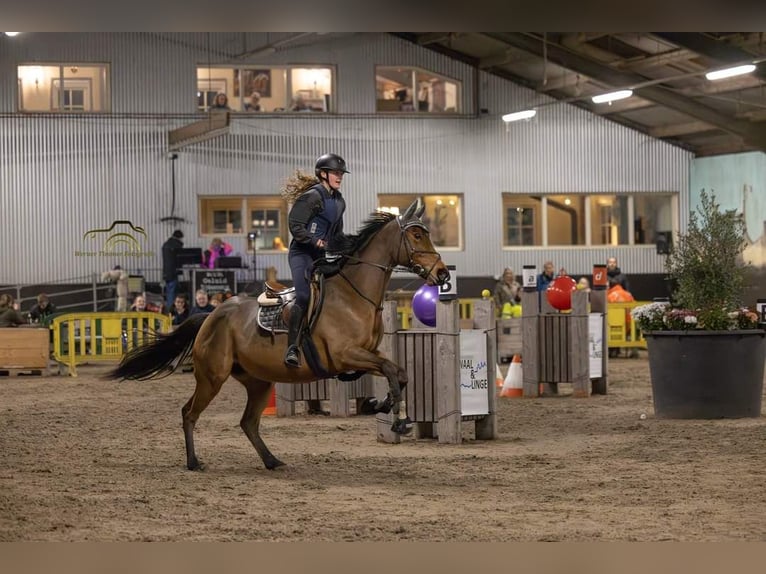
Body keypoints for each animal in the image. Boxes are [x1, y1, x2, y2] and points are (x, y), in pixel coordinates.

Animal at [109, 199, 456, 472]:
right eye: (416, 234)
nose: (442, 273)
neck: (354, 294)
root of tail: (210, 316)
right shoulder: (346, 355)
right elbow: (390, 370)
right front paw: (396, 418)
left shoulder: (366, 354)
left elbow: (399, 372)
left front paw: (382, 406)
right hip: (212, 377)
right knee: (189, 413)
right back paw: (194, 462)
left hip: (258, 382)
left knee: (248, 422)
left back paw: (271, 460)